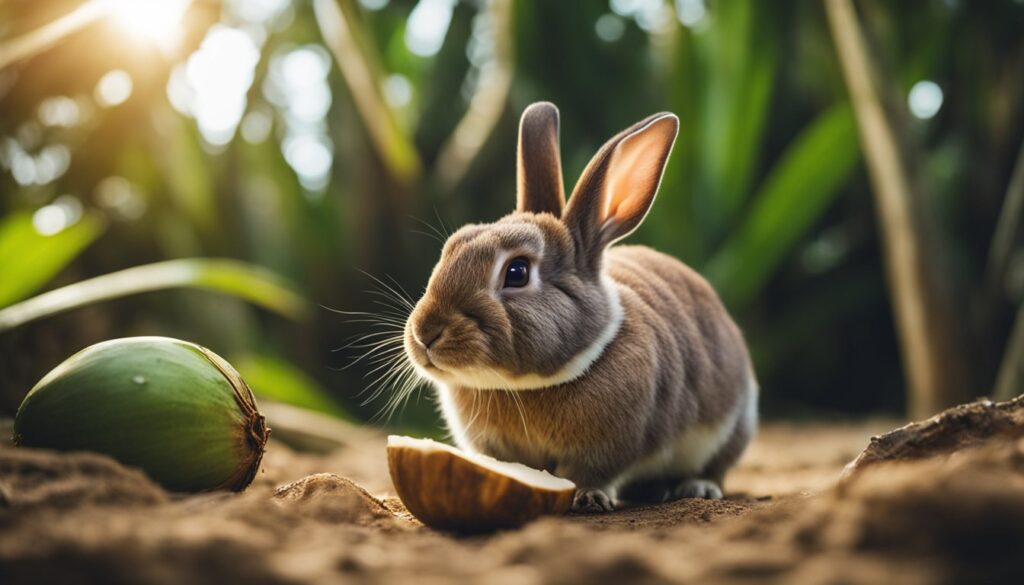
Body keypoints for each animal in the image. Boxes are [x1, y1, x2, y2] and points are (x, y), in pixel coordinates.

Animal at [402, 102, 758, 512]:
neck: (525, 387)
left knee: (718, 464)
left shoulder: (611, 444)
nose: (425, 333)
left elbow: (590, 472)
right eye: (452, 247)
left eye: (517, 272)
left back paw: (697, 486)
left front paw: (589, 498)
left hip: (734, 422)